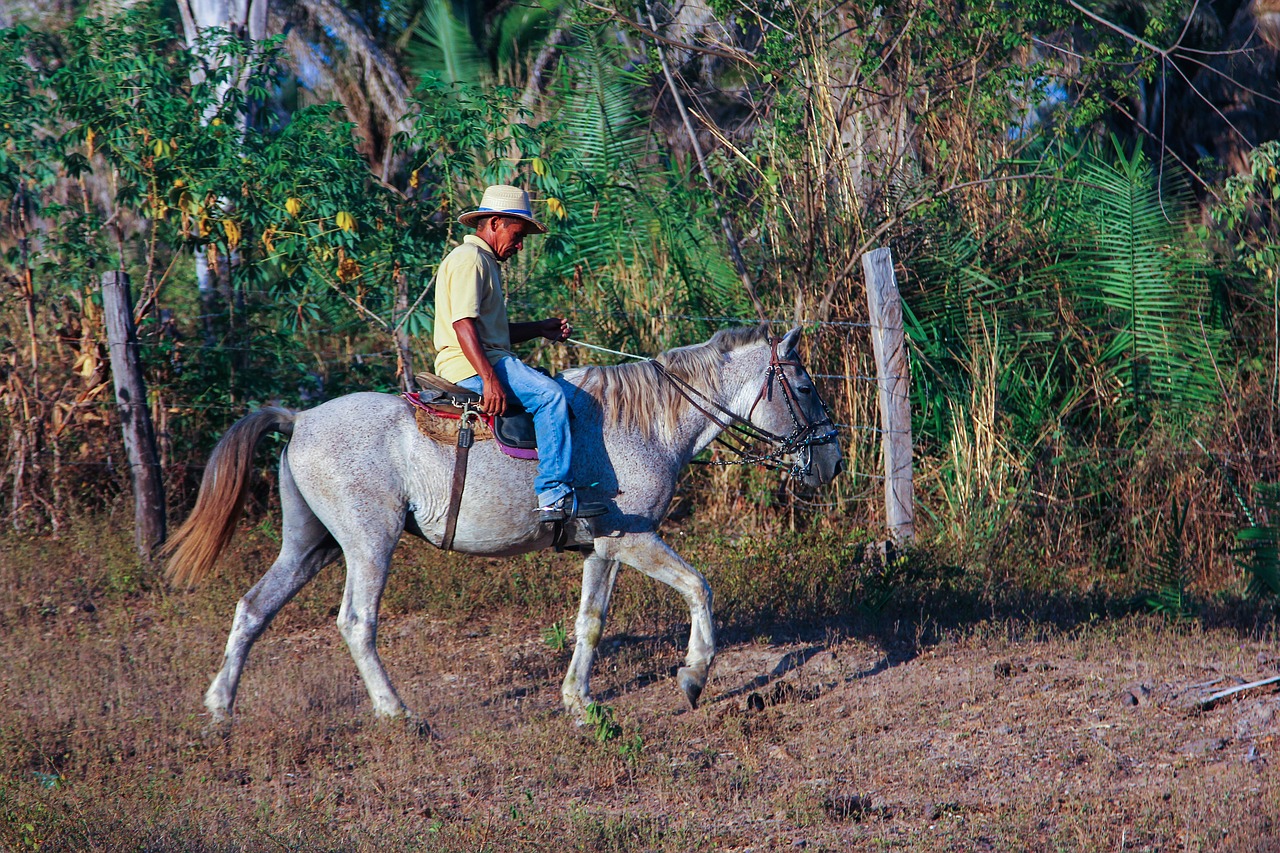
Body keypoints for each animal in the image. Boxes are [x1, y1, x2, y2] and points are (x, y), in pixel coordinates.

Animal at [165, 324, 844, 717]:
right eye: (807, 387)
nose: (832, 460)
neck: (644, 423)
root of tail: (302, 417)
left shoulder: (602, 548)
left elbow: (590, 624)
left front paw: (578, 702)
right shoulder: (634, 537)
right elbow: (699, 587)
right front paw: (695, 675)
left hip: (311, 546)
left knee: (253, 608)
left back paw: (220, 710)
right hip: (368, 544)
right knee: (357, 623)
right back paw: (397, 714)